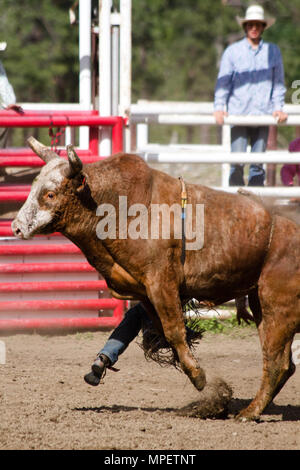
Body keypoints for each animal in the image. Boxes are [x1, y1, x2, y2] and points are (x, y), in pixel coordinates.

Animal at [12, 136, 300, 418]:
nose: (16, 227)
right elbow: (163, 329)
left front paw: (200, 379)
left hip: (278, 305)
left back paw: (249, 412)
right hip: (261, 303)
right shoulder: (144, 290)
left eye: (50, 194)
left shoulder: (161, 283)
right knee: (284, 364)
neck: (120, 207)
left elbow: (174, 331)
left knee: (276, 362)